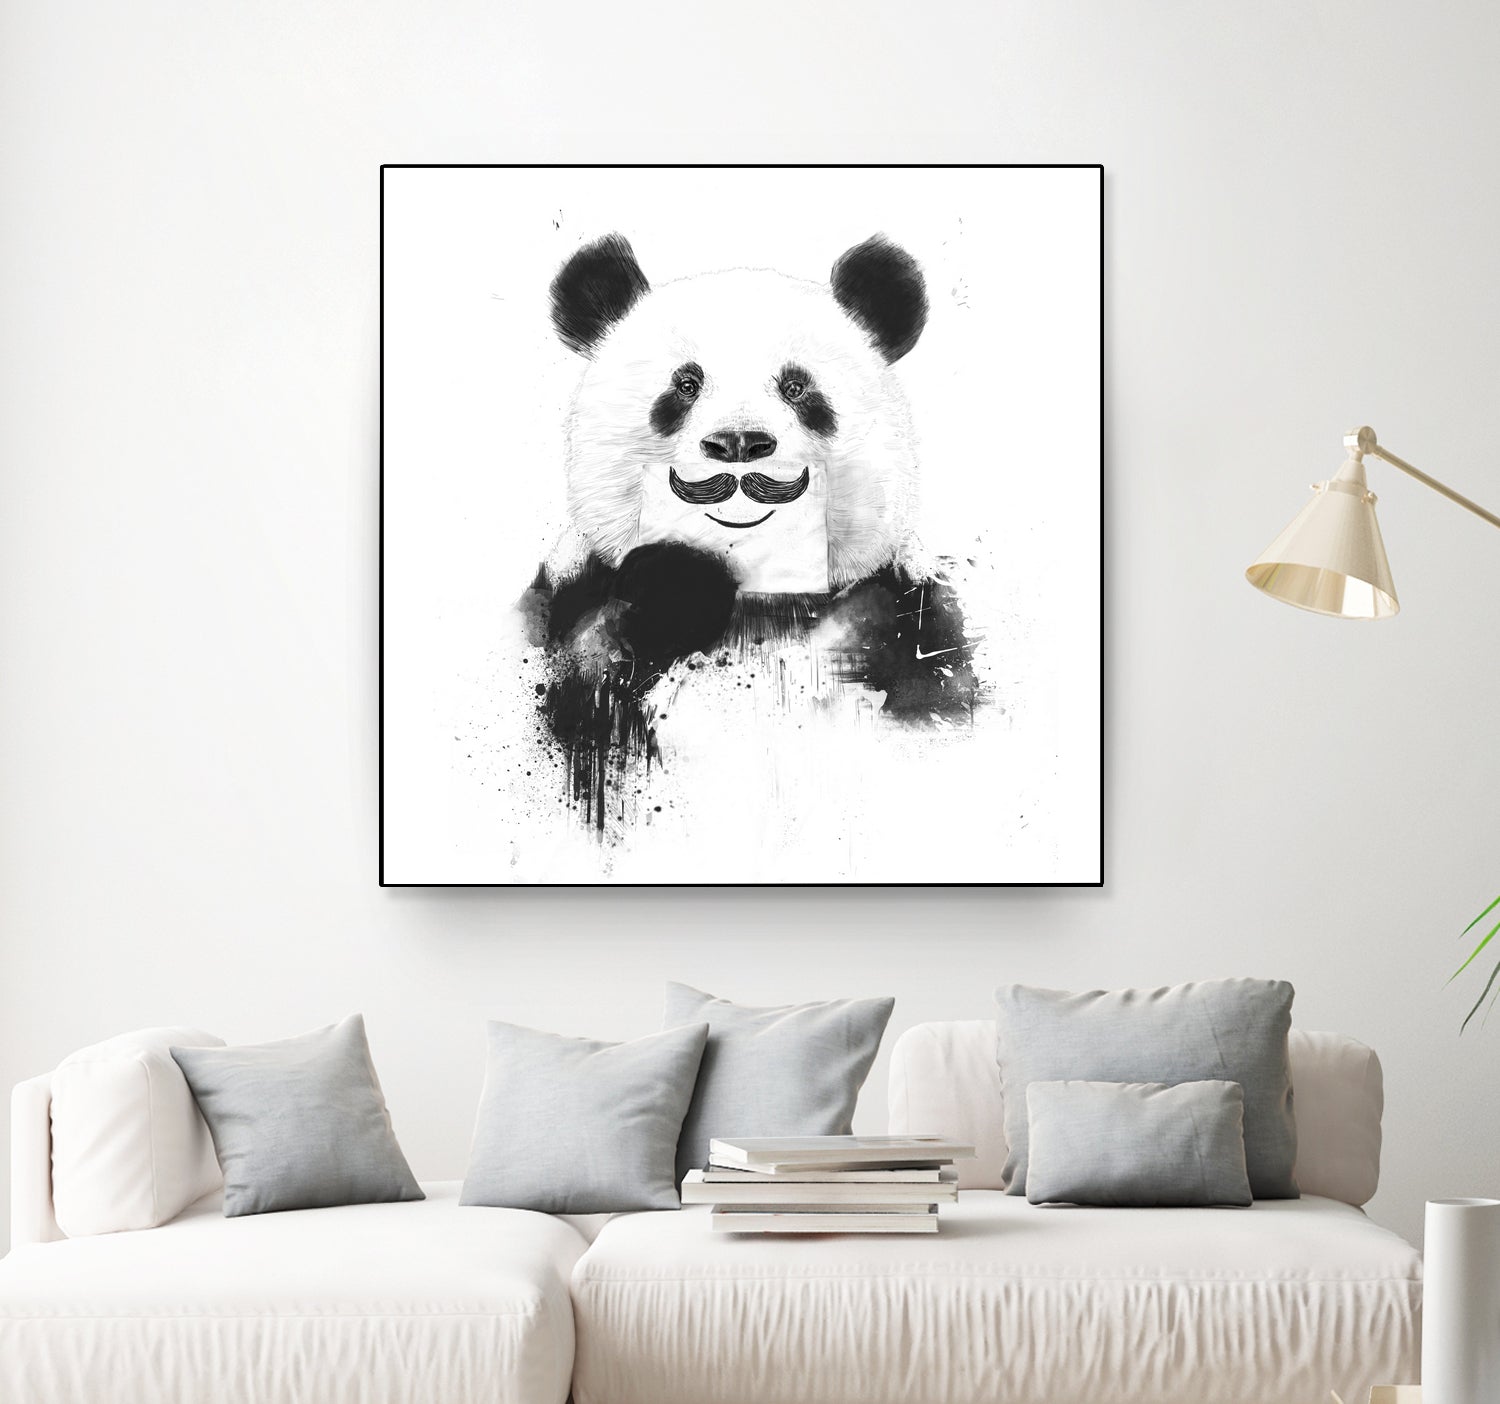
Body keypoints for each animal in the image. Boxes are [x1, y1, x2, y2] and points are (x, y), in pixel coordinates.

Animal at [518, 232, 979, 833]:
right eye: (686, 384)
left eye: (797, 387)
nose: (738, 443)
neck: (757, 598)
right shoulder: (566, 603)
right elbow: (584, 681)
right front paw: (676, 584)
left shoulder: (903, 609)